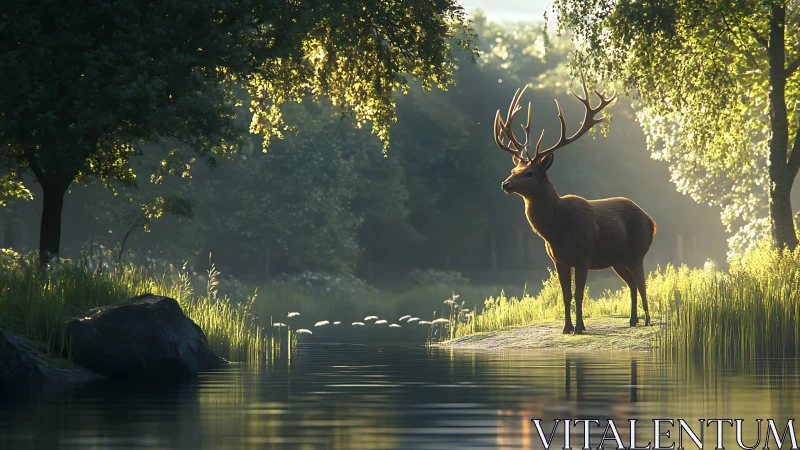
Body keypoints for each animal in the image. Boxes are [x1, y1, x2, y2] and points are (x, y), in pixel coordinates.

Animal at [493, 73, 656, 335]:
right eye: (513, 170)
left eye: (529, 173)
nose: (505, 184)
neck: (557, 231)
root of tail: (651, 221)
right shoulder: (559, 260)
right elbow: (566, 295)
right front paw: (566, 327)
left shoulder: (583, 254)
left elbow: (579, 294)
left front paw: (579, 327)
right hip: (617, 258)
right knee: (631, 284)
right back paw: (632, 320)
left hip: (636, 251)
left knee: (641, 283)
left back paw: (648, 320)